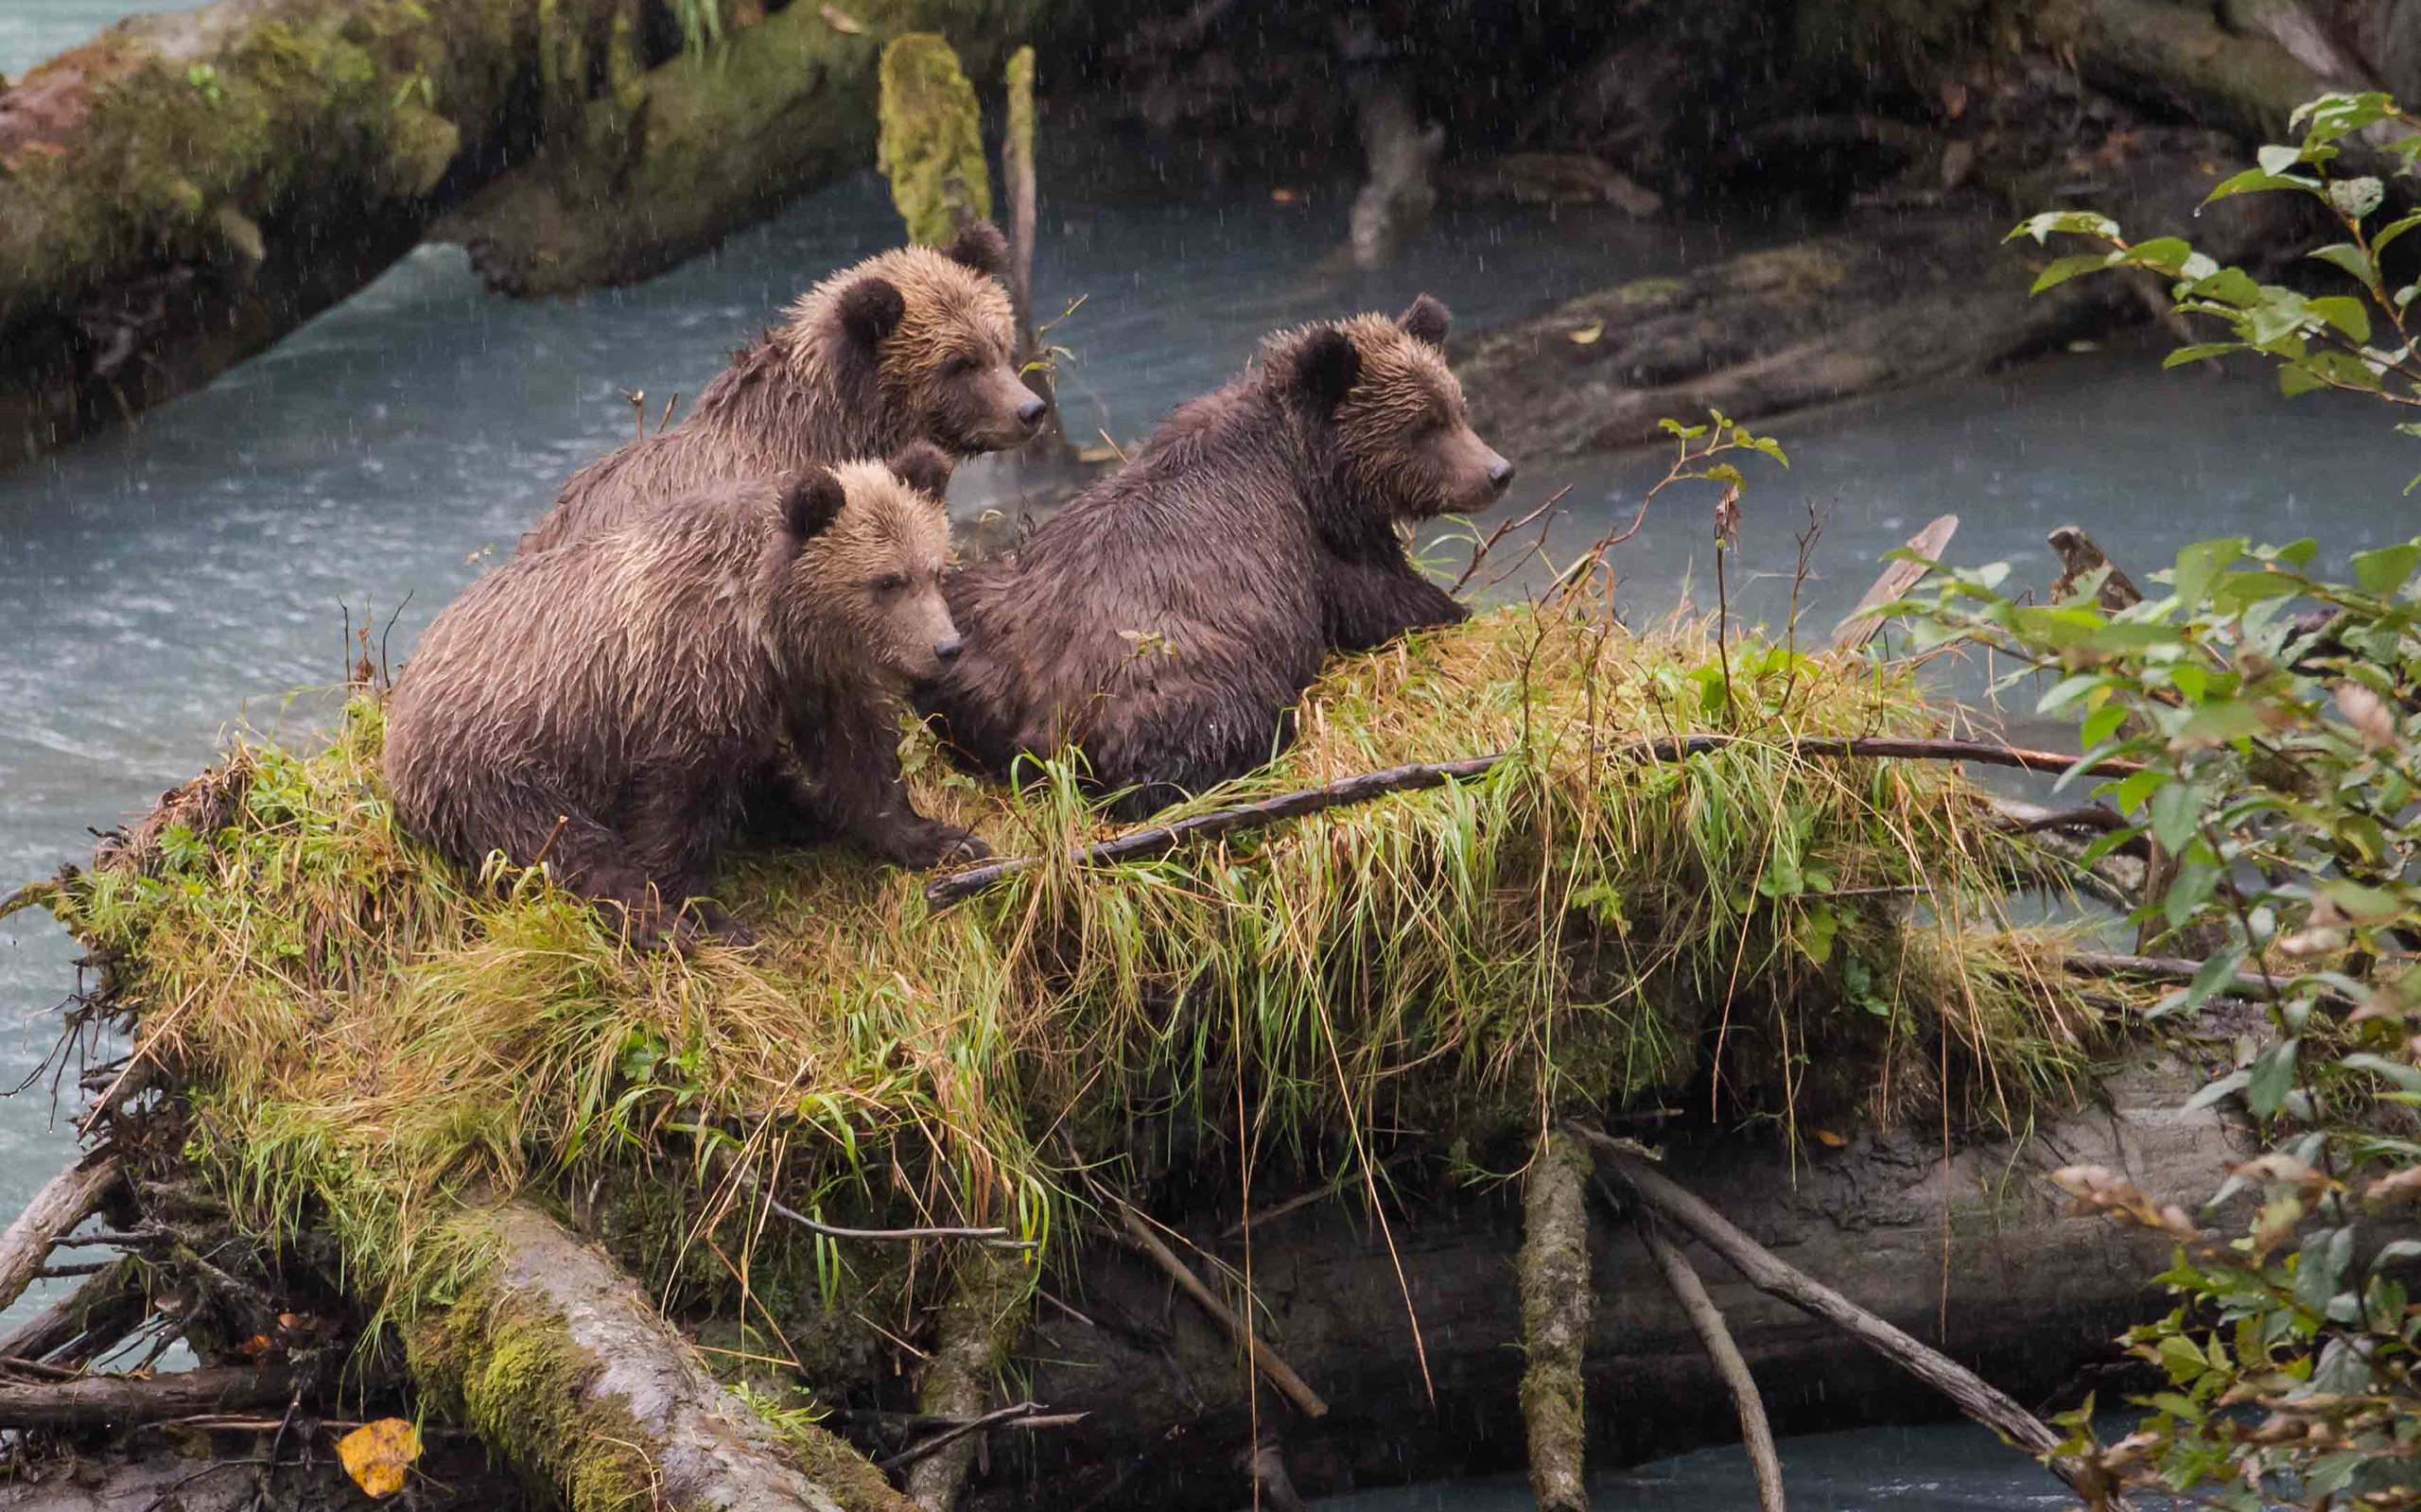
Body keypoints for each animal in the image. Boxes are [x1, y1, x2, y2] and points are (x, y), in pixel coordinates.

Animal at [387, 443, 983, 947]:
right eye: (886, 582)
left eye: (935, 570)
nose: (947, 647)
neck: (768, 627)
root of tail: (412, 674)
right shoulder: (684, 685)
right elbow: (676, 811)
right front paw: (704, 914)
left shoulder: (814, 677)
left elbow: (858, 756)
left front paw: (941, 838)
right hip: (495, 765)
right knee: (560, 844)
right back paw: (653, 921)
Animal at [914, 290, 1501, 817]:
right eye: (1423, 426)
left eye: (1457, 407)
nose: (1498, 472)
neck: (1306, 460)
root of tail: (1039, 720)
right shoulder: (1319, 547)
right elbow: (1388, 600)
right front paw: (1457, 610)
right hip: (1176, 671)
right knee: (1222, 724)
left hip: (980, 626)